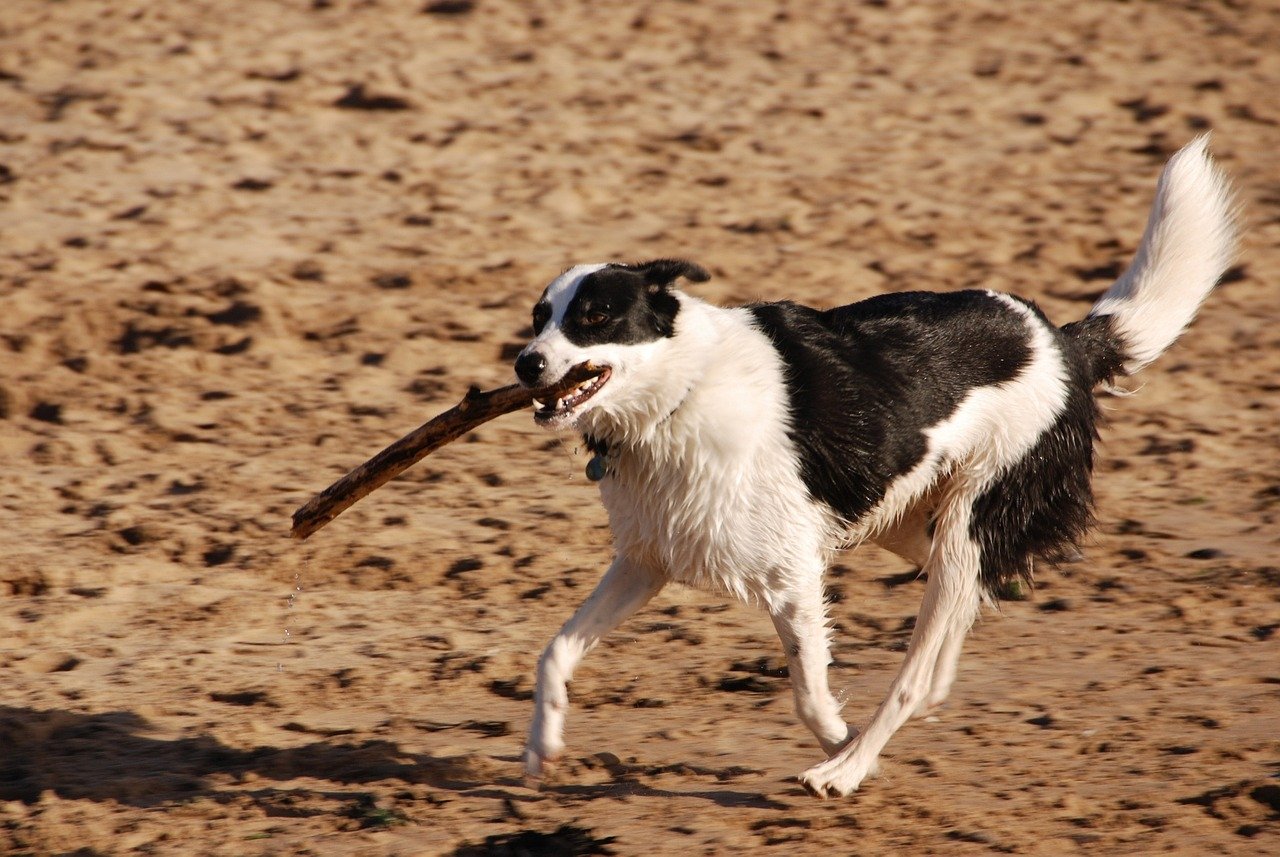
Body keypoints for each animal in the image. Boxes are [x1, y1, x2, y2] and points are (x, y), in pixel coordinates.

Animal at [512, 136, 1239, 798]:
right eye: (539, 316)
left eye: (596, 316)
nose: (524, 363)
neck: (677, 392)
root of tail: (1061, 341)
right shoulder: (647, 560)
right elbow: (555, 650)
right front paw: (542, 748)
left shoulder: (789, 575)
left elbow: (808, 691)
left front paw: (841, 745)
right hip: (912, 521)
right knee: (969, 605)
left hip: (968, 524)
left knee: (912, 675)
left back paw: (850, 766)